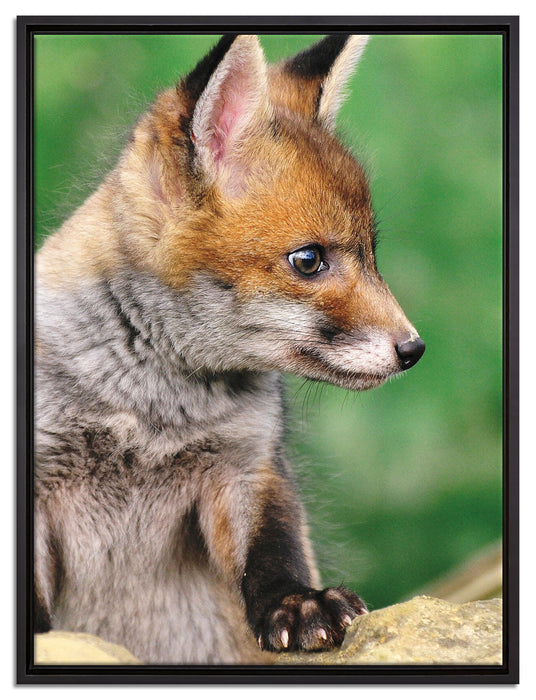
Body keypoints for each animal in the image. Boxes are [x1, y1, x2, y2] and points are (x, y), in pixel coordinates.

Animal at [34, 34, 425, 665]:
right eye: (309, 260)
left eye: (371, 253)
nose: (414, 348)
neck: (151, 413)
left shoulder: (248, 467)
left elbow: (275, 552)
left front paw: (299, 603)